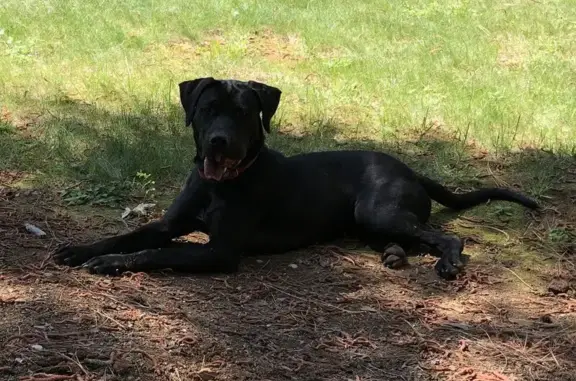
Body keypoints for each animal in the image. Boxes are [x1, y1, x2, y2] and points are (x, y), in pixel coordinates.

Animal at [51, 77, 536, 280]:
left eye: (245, 113)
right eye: (208, 109)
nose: (219, 143)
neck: (219, 183)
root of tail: (409, 168)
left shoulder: (220, 251)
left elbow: (153, 253)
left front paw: (111, 264)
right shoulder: (169, 224)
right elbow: (128, 236)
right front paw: (81, 249)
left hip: (378, 211)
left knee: (447, 237)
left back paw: (447, 262)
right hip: (371, 223)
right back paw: (395, 256)